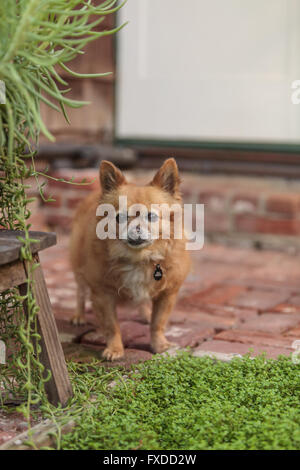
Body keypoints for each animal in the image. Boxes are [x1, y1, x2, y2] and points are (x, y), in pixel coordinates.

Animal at [69, 158, 190, 360]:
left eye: (151, 216)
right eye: (120, 217)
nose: (136, 228)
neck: (139, 258)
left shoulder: (167, 294)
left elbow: (158, 323)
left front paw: (159, 345)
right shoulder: (103, 294)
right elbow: (111, 326)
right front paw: (115, 349)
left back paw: (145, 313)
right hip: (79, 266)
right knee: (80, 291)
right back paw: (78, 315)